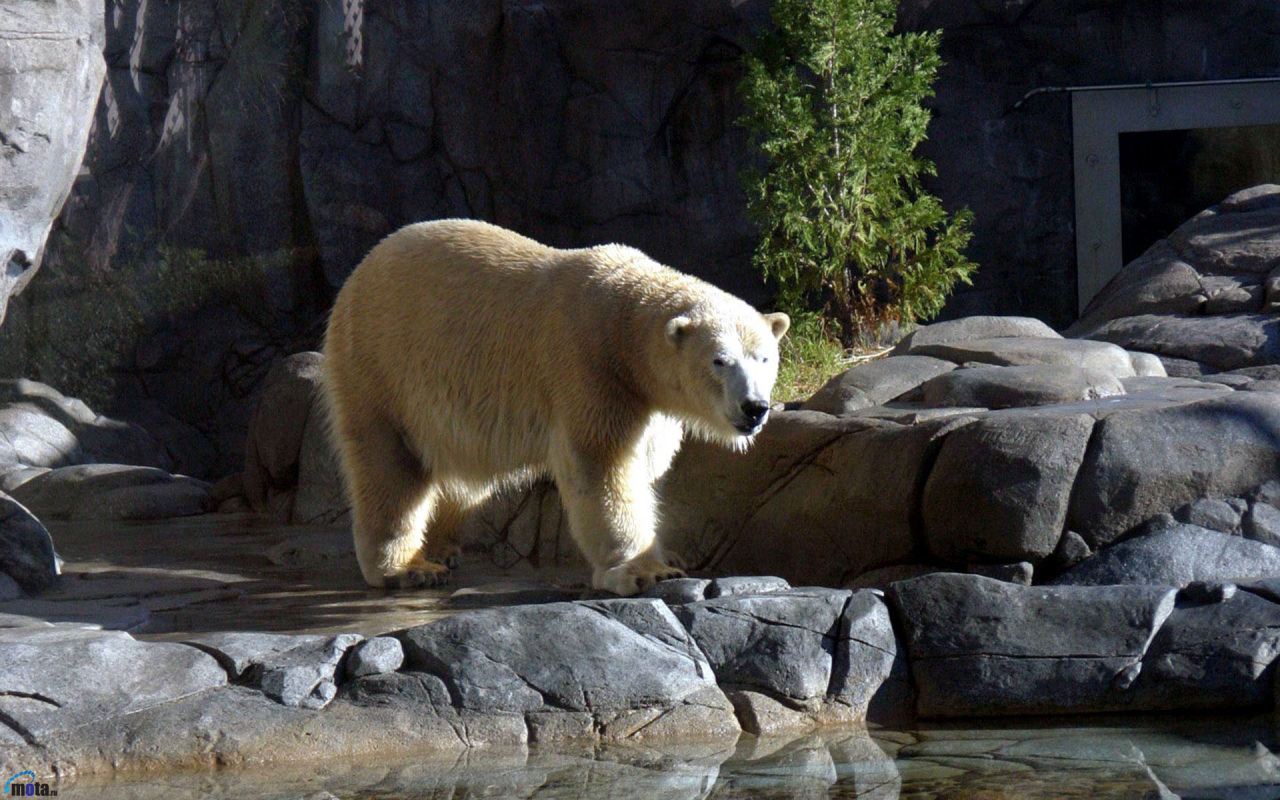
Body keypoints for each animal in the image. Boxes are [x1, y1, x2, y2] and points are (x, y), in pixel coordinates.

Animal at [320, 218, 783, 593]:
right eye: (720, 361)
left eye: (764, 358)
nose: (755, 407)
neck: (621, 324)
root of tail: (358, 273)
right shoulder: (589, 369)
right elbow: (601, 467)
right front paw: (644, 570)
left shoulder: (650, 402)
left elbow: (649, 465)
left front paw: (667, 554)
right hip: (380, 366)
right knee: (390, 466)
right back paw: (408, 567)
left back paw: (443, 548)